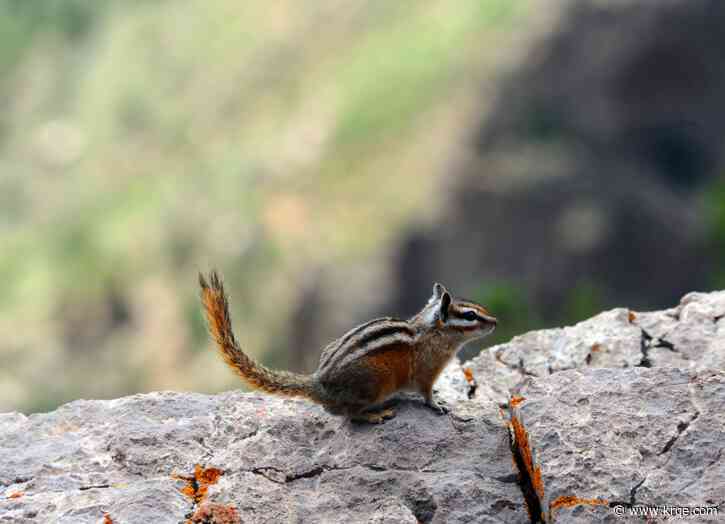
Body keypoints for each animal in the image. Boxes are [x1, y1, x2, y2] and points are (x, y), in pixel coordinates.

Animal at [199, 270, 497, 423]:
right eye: (470, 315)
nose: (495, 322)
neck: (432, 332)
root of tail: (318, 384)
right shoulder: (426, 371)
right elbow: (425, 393)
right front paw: (437, 405)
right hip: (377, 384)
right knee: (348, 414)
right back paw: (375, 416)